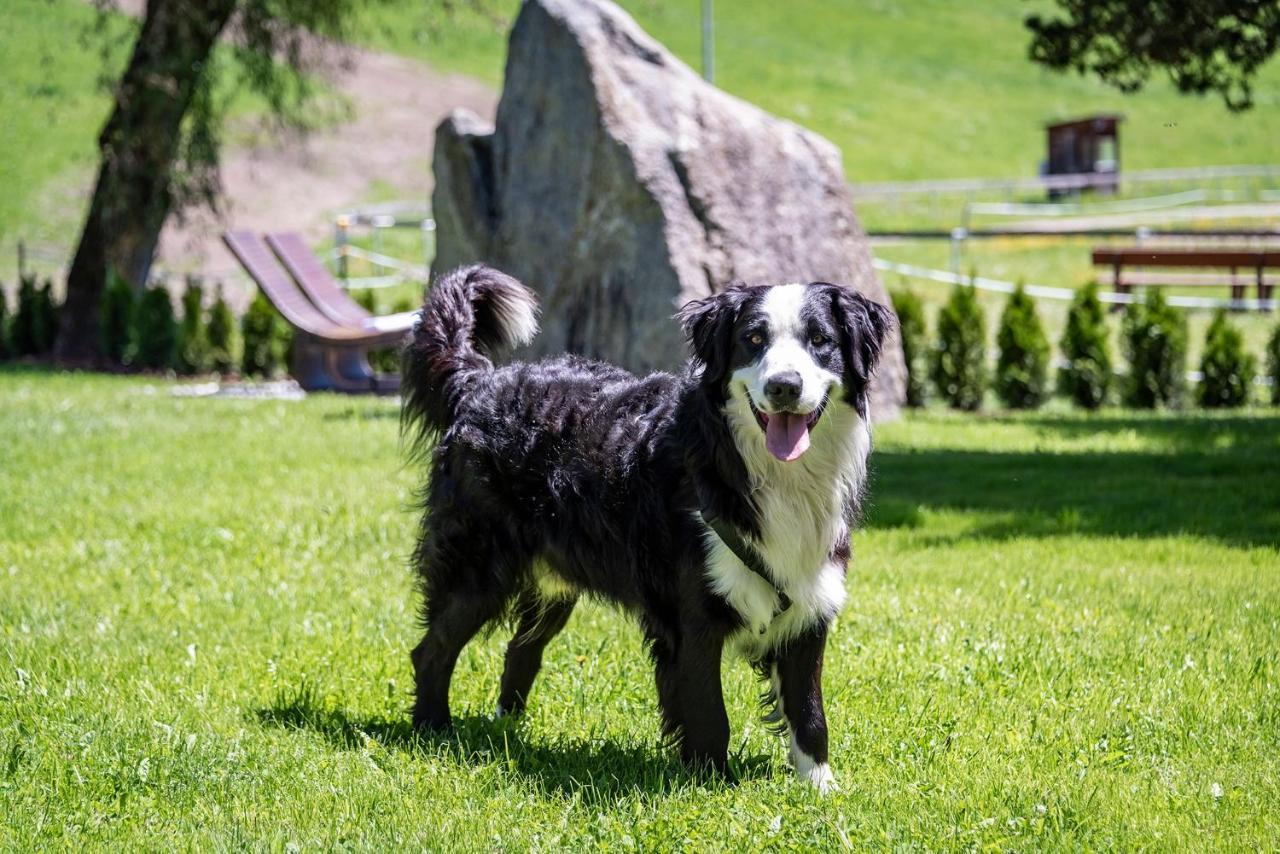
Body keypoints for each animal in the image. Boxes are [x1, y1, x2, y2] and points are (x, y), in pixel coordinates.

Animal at [399, 263, 890, 793]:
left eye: (820, 340)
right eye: (754, 339)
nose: (784, 386)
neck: (766, 474)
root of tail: (480, 382)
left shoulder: (807, 604)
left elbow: (809, 711)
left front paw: (820, 788)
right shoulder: (692, 617)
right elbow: (708, 713)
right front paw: (712, 786)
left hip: (554, 581)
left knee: (519, 653)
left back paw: (509, 730)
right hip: (478, 567)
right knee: (432, 649)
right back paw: (434, 729)